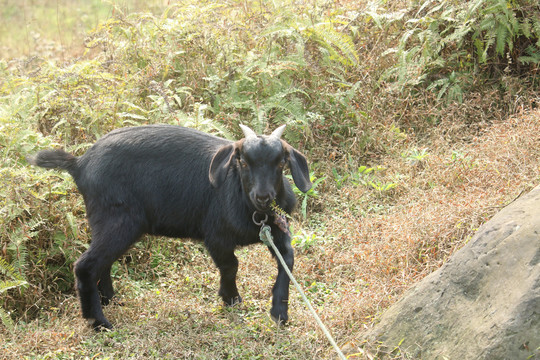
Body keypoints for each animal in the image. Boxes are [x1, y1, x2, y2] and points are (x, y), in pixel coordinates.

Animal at [28, 124, 312, 330]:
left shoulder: (277, 230)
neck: (253, 211)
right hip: (119, 221)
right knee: (86, 265)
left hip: (109, 224)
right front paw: (231, 298)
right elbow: (231, 265)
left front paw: (279, 312)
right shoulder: (216, 235)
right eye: (242, 162)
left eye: (281, 162)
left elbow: (288, 261)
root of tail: (79, 164)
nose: (263, 197)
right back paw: (99, 323)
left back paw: (111, 300)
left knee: (102, 263)